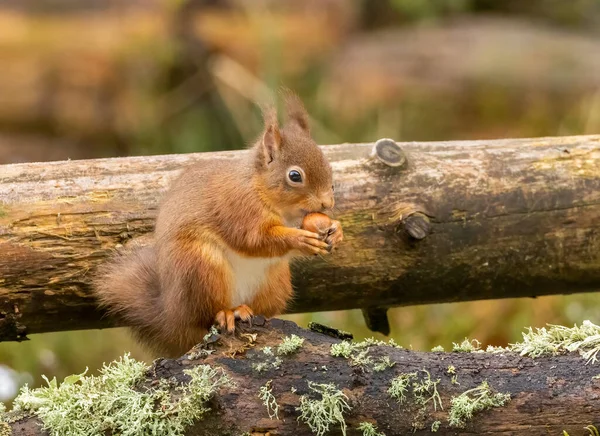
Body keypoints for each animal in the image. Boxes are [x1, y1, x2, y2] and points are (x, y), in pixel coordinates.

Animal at [93, 93, 342, 358]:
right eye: (295, 176)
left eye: (329, 168)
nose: (327, 203)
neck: (260, 189)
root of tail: (173, 313)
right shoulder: (237, 209)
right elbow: (254, 240)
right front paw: (300, 239)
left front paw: (336, 232)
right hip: (201, 268)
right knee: (207, 315)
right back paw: (229, 313)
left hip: (275, 281)